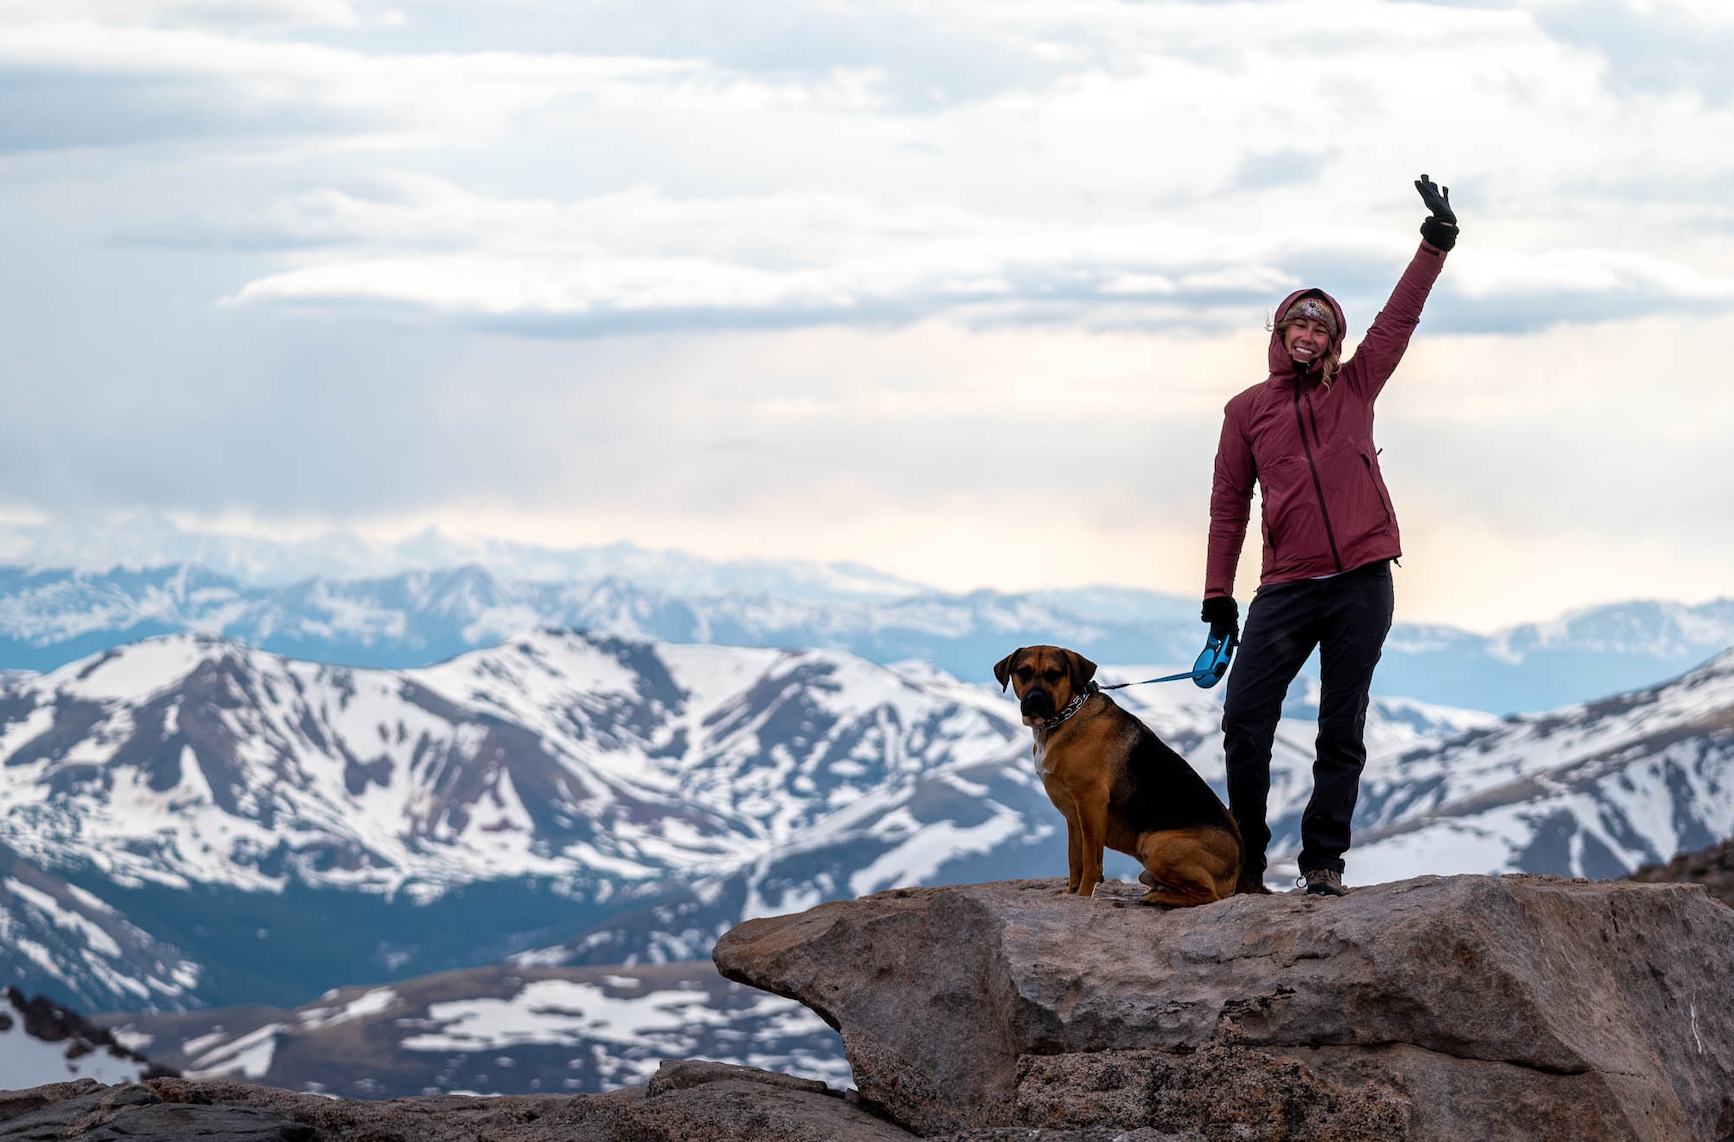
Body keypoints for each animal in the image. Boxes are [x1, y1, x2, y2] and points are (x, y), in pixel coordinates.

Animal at [991, 648, 1248, 908]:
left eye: (1054, 674)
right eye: (1023, 672)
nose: (1035, 699)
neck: (1065, 716)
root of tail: (1237, 868)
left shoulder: (1091, 802)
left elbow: (1091, 862)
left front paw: (1082, 896)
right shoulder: (1073, 815)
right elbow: (1075, 860)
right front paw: (1071, 894)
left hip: (1154, 844)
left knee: (1208, 896)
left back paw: (1158, 896)